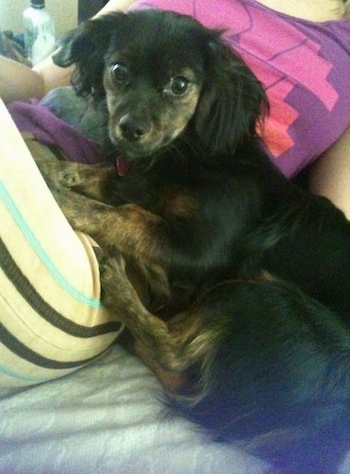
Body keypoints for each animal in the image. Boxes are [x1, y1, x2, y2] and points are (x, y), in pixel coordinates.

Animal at [34, 10, 350, 474]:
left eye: (180, 85)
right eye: (118, 71)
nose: (129, 129)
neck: (187, 155)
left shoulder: (198, 247)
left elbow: (124, 215)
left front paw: (61, 200)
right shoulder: (140, 184)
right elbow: (100, 175)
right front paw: (46, 167)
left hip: (258, 296)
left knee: (174, 354)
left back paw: (118, 284)